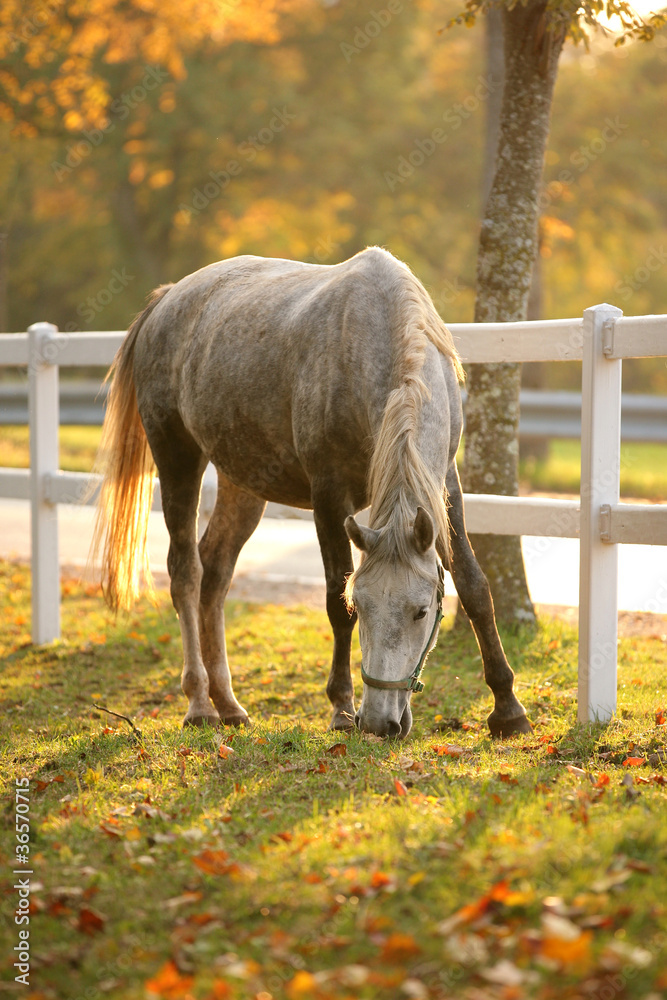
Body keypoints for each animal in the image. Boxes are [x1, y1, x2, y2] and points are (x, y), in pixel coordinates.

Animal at [91, 247, 531, 740]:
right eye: (364, 604)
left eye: (421, 611)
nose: (379, 723)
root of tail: (167, 300)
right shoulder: (329, 496)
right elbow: (335, 602)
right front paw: (341, 708)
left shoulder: (444, 486)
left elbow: (474, 586)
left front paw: (508, 707)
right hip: (177, 459)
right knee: (185, 572)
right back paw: (200, 703)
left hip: (242, 484)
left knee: (215, 574)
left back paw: (228, 703)